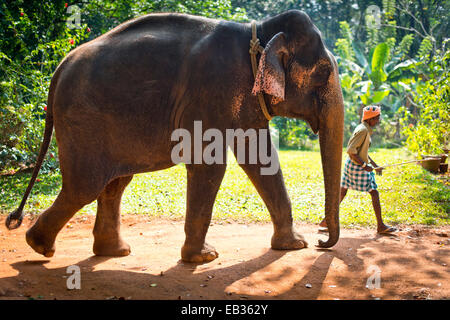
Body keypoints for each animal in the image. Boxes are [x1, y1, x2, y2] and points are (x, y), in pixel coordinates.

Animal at [5, 10, 344, 262]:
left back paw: (113, 252)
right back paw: (40, 247)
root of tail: (59, 68)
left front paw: (293, 246)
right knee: (85, 186)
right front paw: (203, 258)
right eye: (323, 73)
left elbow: (260, 159)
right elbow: (210, 164)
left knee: (114, 184)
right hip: (82, 119)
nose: (321, 241)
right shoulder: (214, 88)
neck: (259, 31)